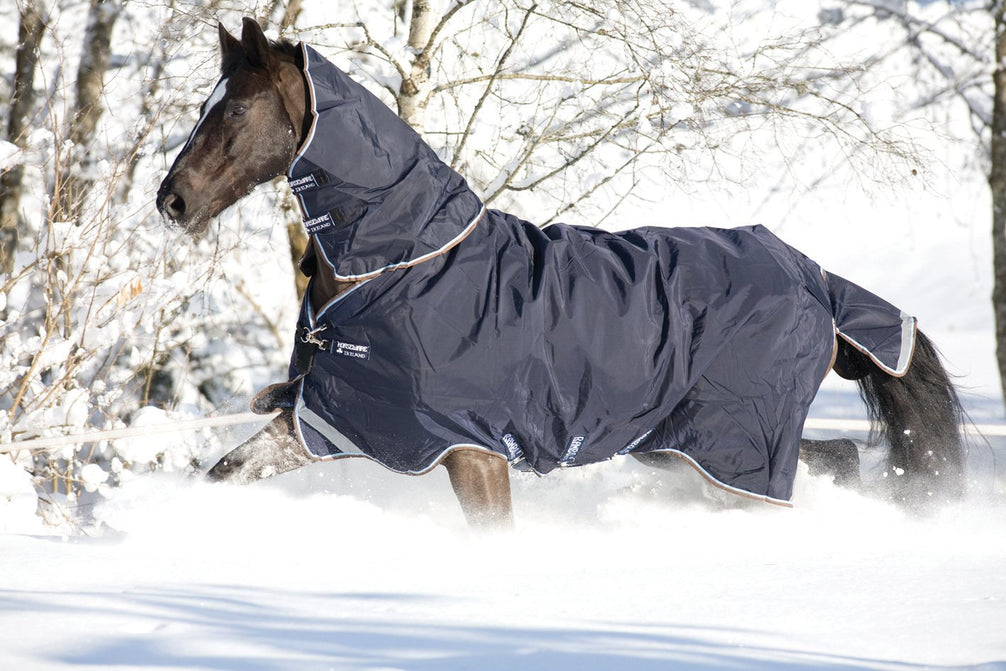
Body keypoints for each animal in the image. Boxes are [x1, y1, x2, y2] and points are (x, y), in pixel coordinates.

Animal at [156, 18, 965, 527]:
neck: (399, 266)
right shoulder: (324, 420)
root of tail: (815, 280)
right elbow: (228, 472)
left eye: (236, 112)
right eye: (204, 105)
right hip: (685, 449)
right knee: (837, 458)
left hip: (725, 446)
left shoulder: (472, 452)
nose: (173, 200)